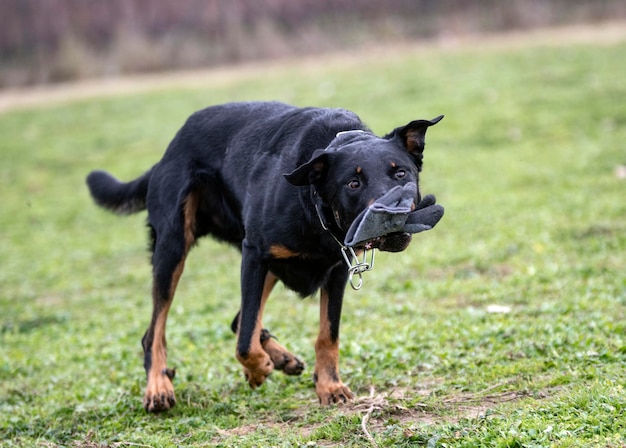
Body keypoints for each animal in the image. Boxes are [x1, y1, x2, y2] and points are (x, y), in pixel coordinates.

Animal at [85, 100, 442, 412]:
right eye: (353, 183)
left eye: (400, 173)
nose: (392, 213)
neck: (312, 202)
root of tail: (168, 151)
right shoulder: (255, 255)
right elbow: (245, 343)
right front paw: (258, 369)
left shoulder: (337, 269)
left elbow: (327, 334)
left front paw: (329, 386)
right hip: (173, 248)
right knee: (156, 332)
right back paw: (159, 387)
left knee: (240, 318)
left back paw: (282, 358)